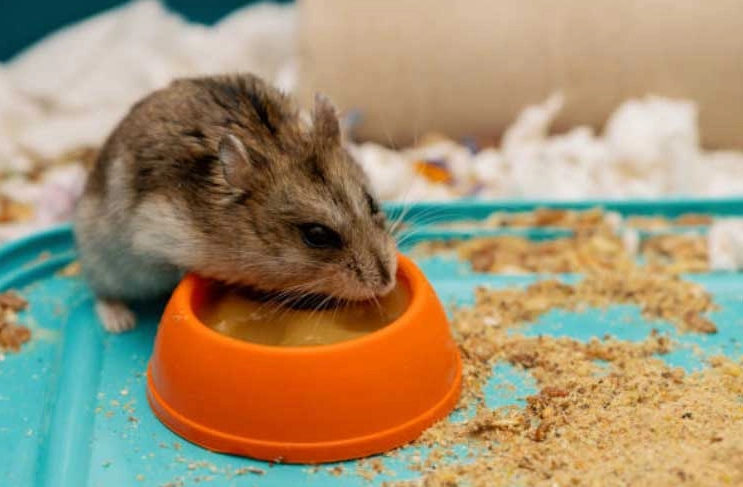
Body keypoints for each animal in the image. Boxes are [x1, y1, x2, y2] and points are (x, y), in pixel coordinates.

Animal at [73, 74, 397, 333]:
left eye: (372, 203)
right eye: (316, 235)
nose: (387, 283)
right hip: (103, 259)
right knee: (100, 291)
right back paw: (119, 322)